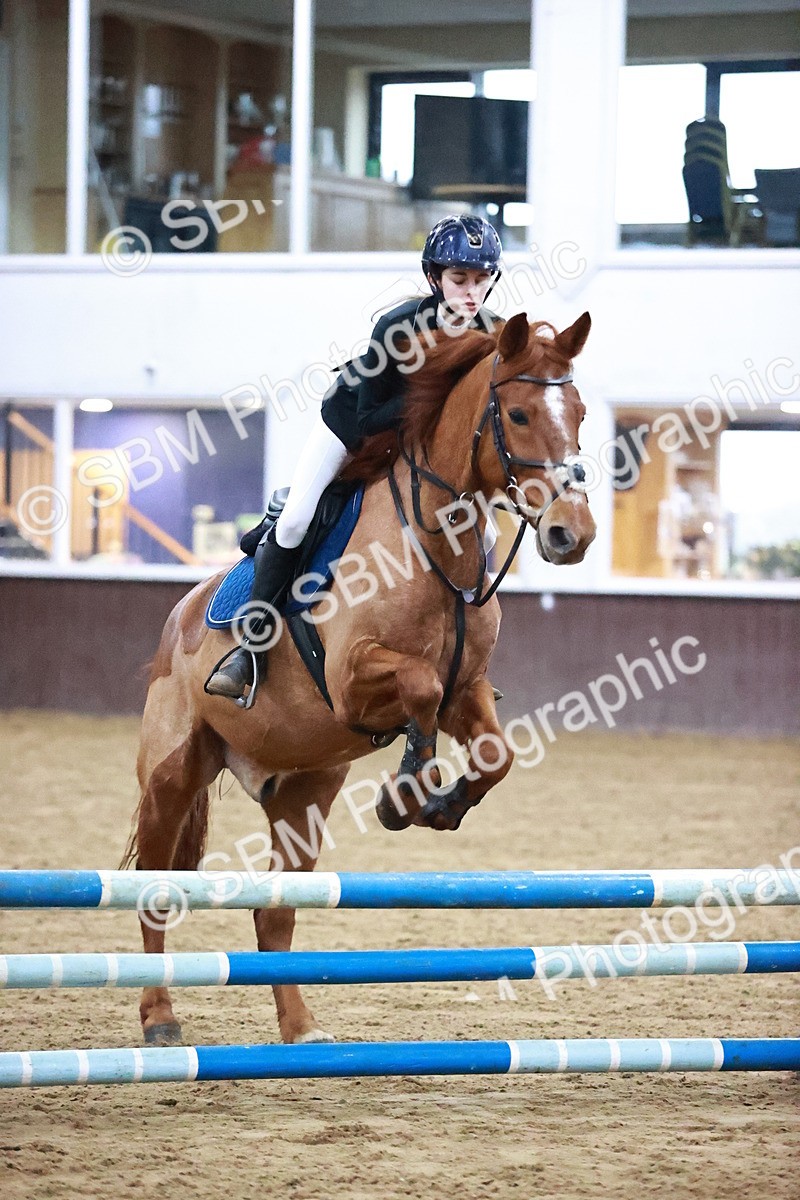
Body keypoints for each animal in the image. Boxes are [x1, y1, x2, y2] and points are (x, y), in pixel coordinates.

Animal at [125, 310, 596, 1047]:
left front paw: (442, 803)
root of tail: (182, 615)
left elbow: (494, 752)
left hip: (304, 793)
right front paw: (407, 794)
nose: (571, 534)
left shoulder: (467, 690)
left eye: (577, 414)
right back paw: (161, 1018)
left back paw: (302, 1029)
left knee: (275, 913)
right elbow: (419, 690)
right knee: (154, 892)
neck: (435, 545)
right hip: (172, 776)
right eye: (518, 414)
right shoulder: (354, 679)